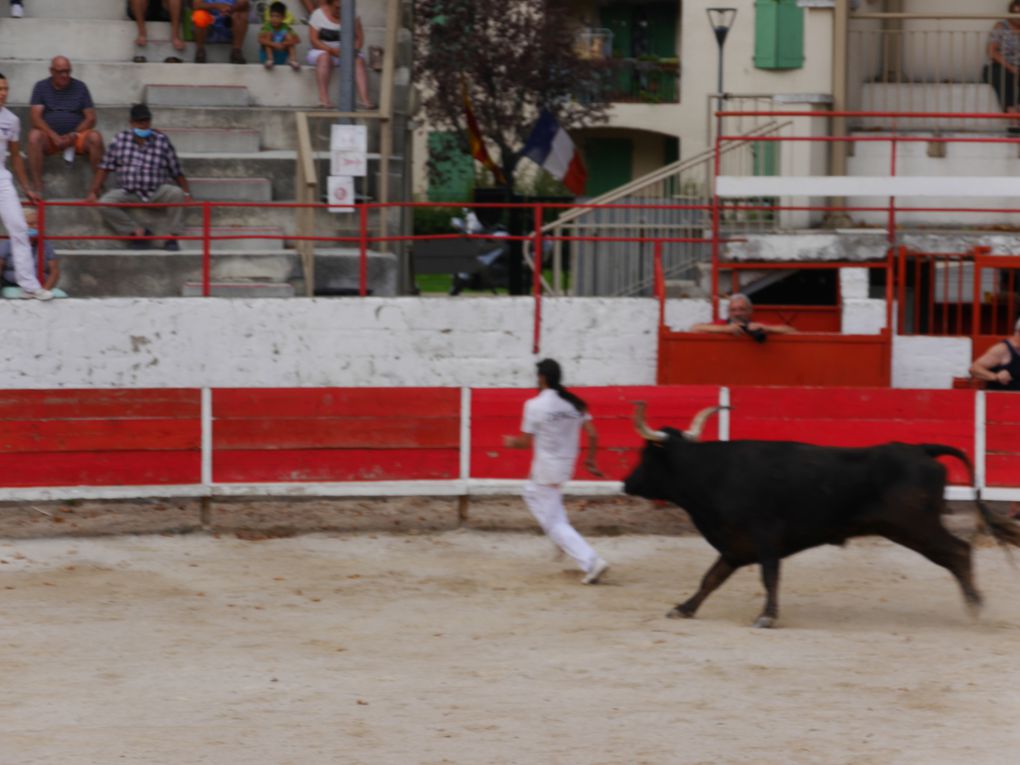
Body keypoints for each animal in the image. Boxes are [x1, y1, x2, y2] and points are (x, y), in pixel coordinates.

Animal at [620, 403, 1020, 624]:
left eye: (644, 454)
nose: (626, 483)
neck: (712, 472)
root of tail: (921, 448)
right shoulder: (735, 545)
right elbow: (711, 578)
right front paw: (683, 608)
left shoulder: (765, 536)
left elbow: (769, 576)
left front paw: (767, 616)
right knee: (958, 553)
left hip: (916, 527)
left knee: (958, 551)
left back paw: (975, 606)